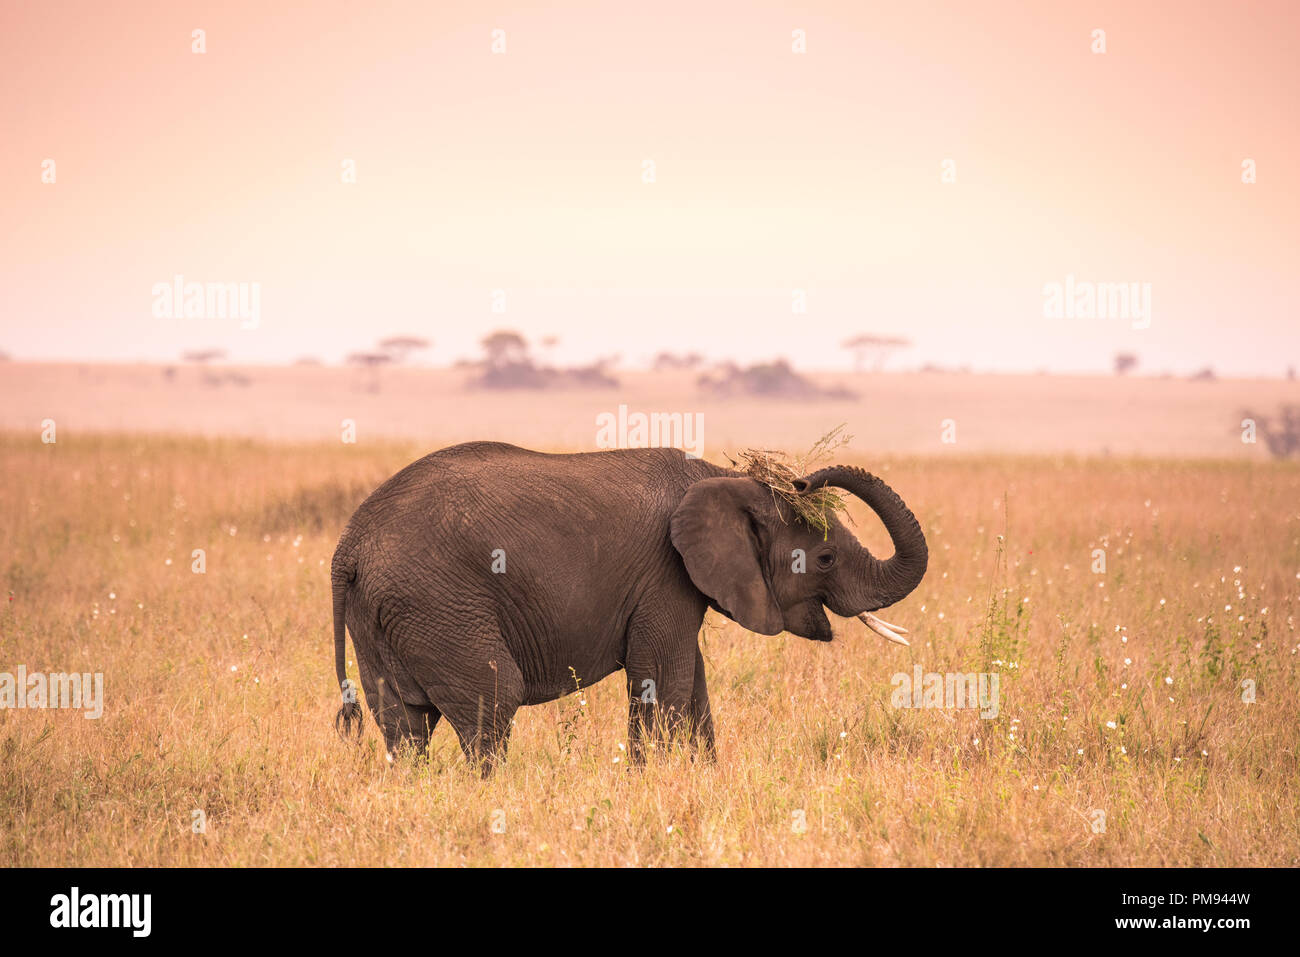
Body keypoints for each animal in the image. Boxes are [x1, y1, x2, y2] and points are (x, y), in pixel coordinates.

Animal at [330, 441, 927, 772]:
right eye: (824, 558)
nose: (802, 479)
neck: (724, 480)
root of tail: (348, 547)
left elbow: (693, 687)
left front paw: (702, 781)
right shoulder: (665, 574)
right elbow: (664, 680)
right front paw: (650, 785)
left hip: (385, 611)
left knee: (404, 725)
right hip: (436, 602)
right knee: (494, 703)